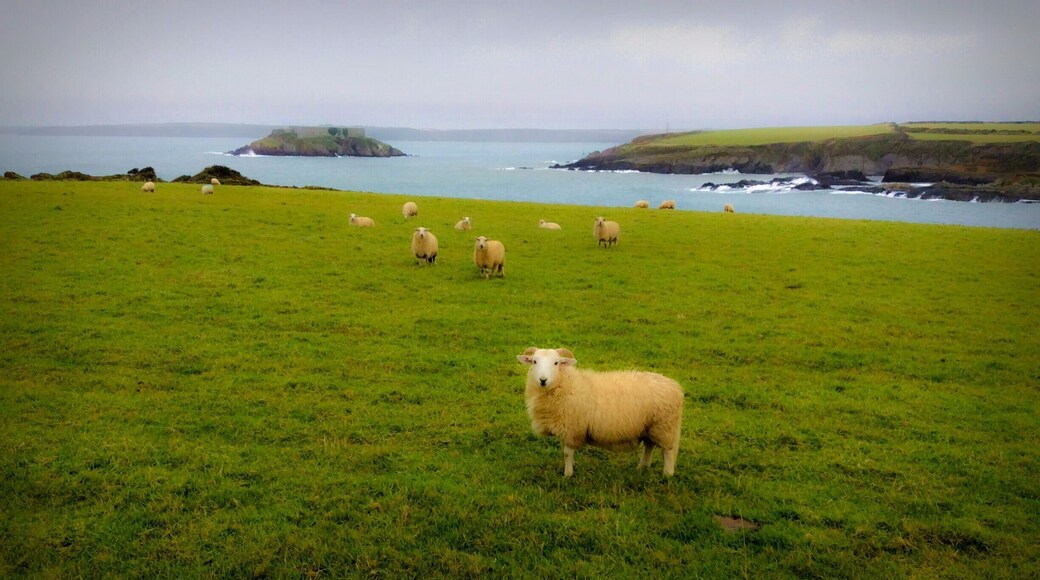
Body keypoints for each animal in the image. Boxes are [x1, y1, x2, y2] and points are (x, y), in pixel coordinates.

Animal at [517, 347, 684, 477]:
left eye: (556, 363)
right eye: (534, 362)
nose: (543, 380)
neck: (566, 383)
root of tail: (675, 386)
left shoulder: (571, 428)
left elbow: (567, 453)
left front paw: (568, 474)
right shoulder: (564, 427)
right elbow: (566, 452)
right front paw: (573, 466)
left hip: (665, 427)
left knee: (668, 452)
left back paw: (667, 475)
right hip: (650, 427)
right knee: (649, 446)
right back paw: (642, 467)